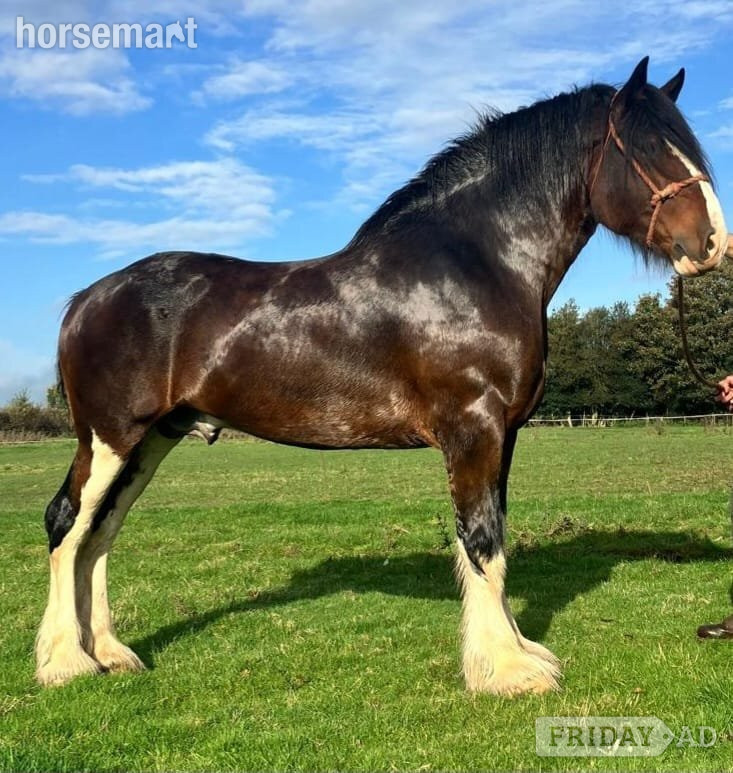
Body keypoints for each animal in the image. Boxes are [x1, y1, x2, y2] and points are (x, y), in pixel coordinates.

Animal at [37, 57, 731, 695]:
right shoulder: (474, 430)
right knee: (68, 525)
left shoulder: (503, 435)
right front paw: (504, 672)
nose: (713, 244)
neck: (476, 265)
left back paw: (111, 653)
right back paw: (67, 662)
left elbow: (495, 542)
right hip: (111, 438)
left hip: (152, 441)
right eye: (649, 148)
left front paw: (518, 652)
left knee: (101, 534)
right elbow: (481, 542)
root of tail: (85, 299)